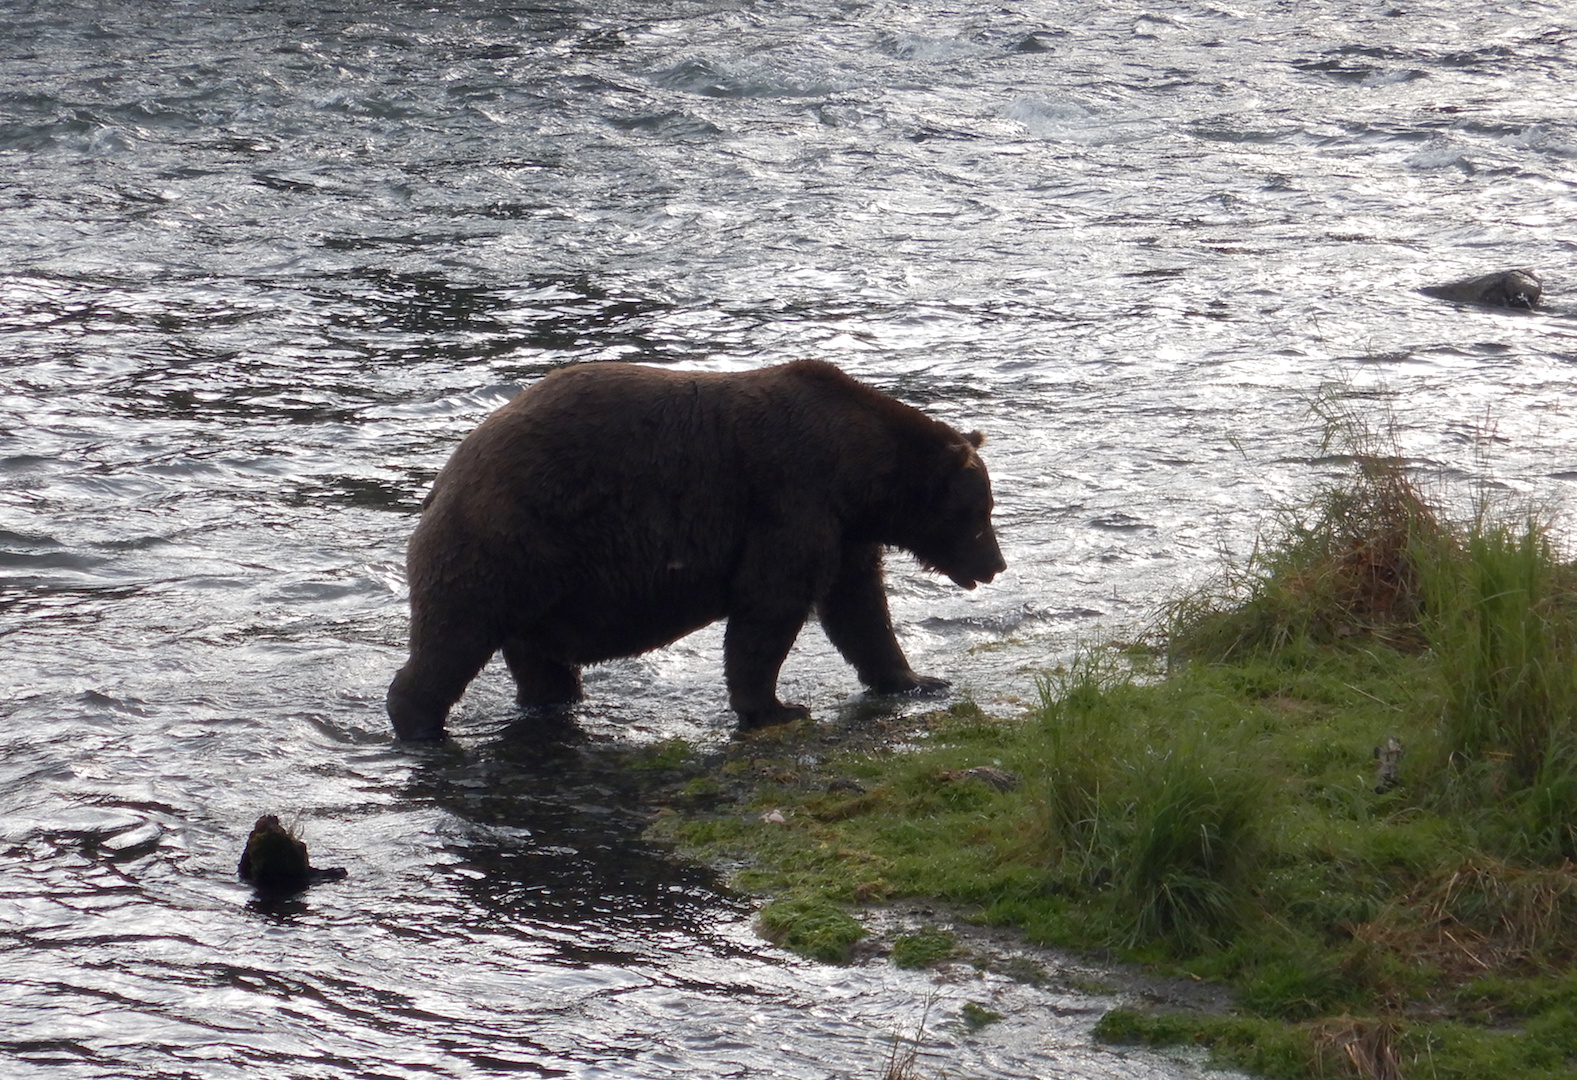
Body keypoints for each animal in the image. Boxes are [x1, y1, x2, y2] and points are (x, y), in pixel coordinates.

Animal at [386, 358, 1006, 740]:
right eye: (981, 515)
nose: (996, 565)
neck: (858, 474)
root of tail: (445, 477)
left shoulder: (846, 531)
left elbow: (860, 610)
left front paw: (919, 680)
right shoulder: (791, 498)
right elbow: (770, 606)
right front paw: (776, 708)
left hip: (542, 581)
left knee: (535, 657)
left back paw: (557, 701)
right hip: (508, 541)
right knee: (454, 637)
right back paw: (420, 723)